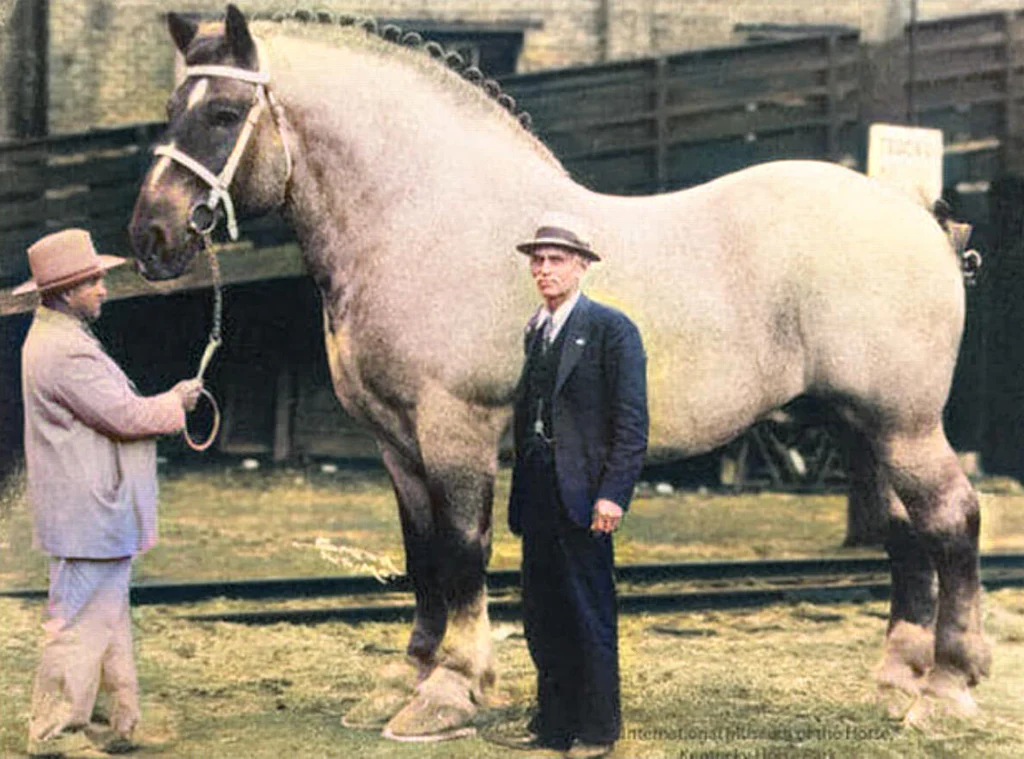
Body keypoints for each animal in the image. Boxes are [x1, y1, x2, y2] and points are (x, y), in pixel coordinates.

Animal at [130, 5, 991, 741]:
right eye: (171, 107)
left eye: (222, 114)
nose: (152, 235)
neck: (426, 217)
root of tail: (921, 218)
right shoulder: (396, 442)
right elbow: (420, 553)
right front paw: (406, 677)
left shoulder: (456, 427)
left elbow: (462, 550)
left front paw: (450, 689)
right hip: (861, 425)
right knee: (906, 532)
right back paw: (898, 679)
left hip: (903, 423)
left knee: (952, 519)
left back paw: (949, 687)